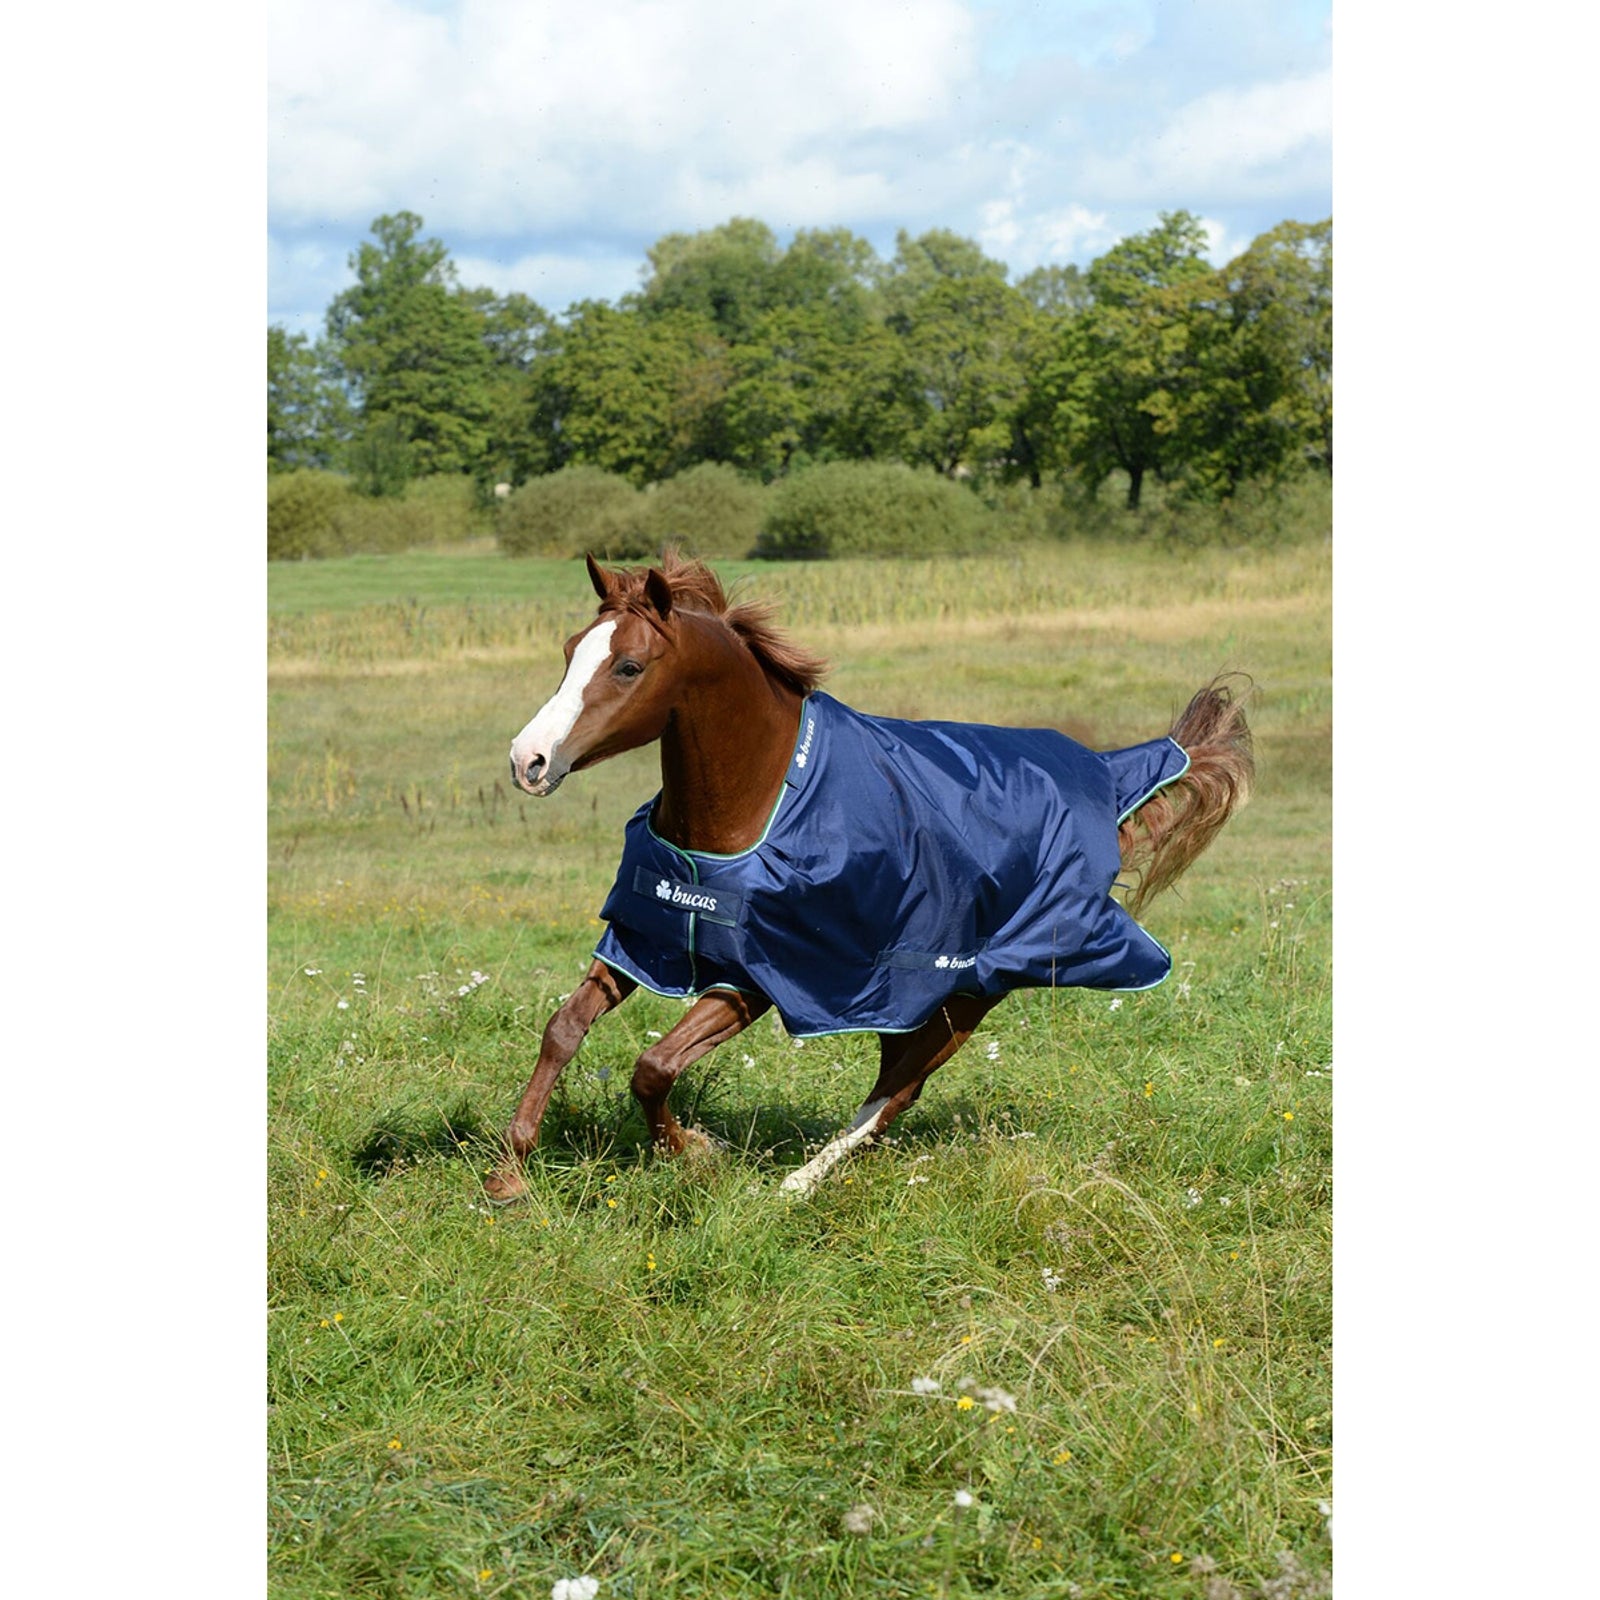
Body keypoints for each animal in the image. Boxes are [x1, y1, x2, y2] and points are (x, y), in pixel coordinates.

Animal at [486, 551, 1253, 1202]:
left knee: (898, 1090)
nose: (528, 760)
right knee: (895, 1080)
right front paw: (509, 1174)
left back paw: (796, 1186)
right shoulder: (647, 938)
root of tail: (1104, 781)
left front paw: (695, 1152)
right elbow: (563, 1028)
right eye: (569, 653)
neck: (754, 805)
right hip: (910, 1001)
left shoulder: (758, 976)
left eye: (629, 667)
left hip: (964, 994)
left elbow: (654, 1068)